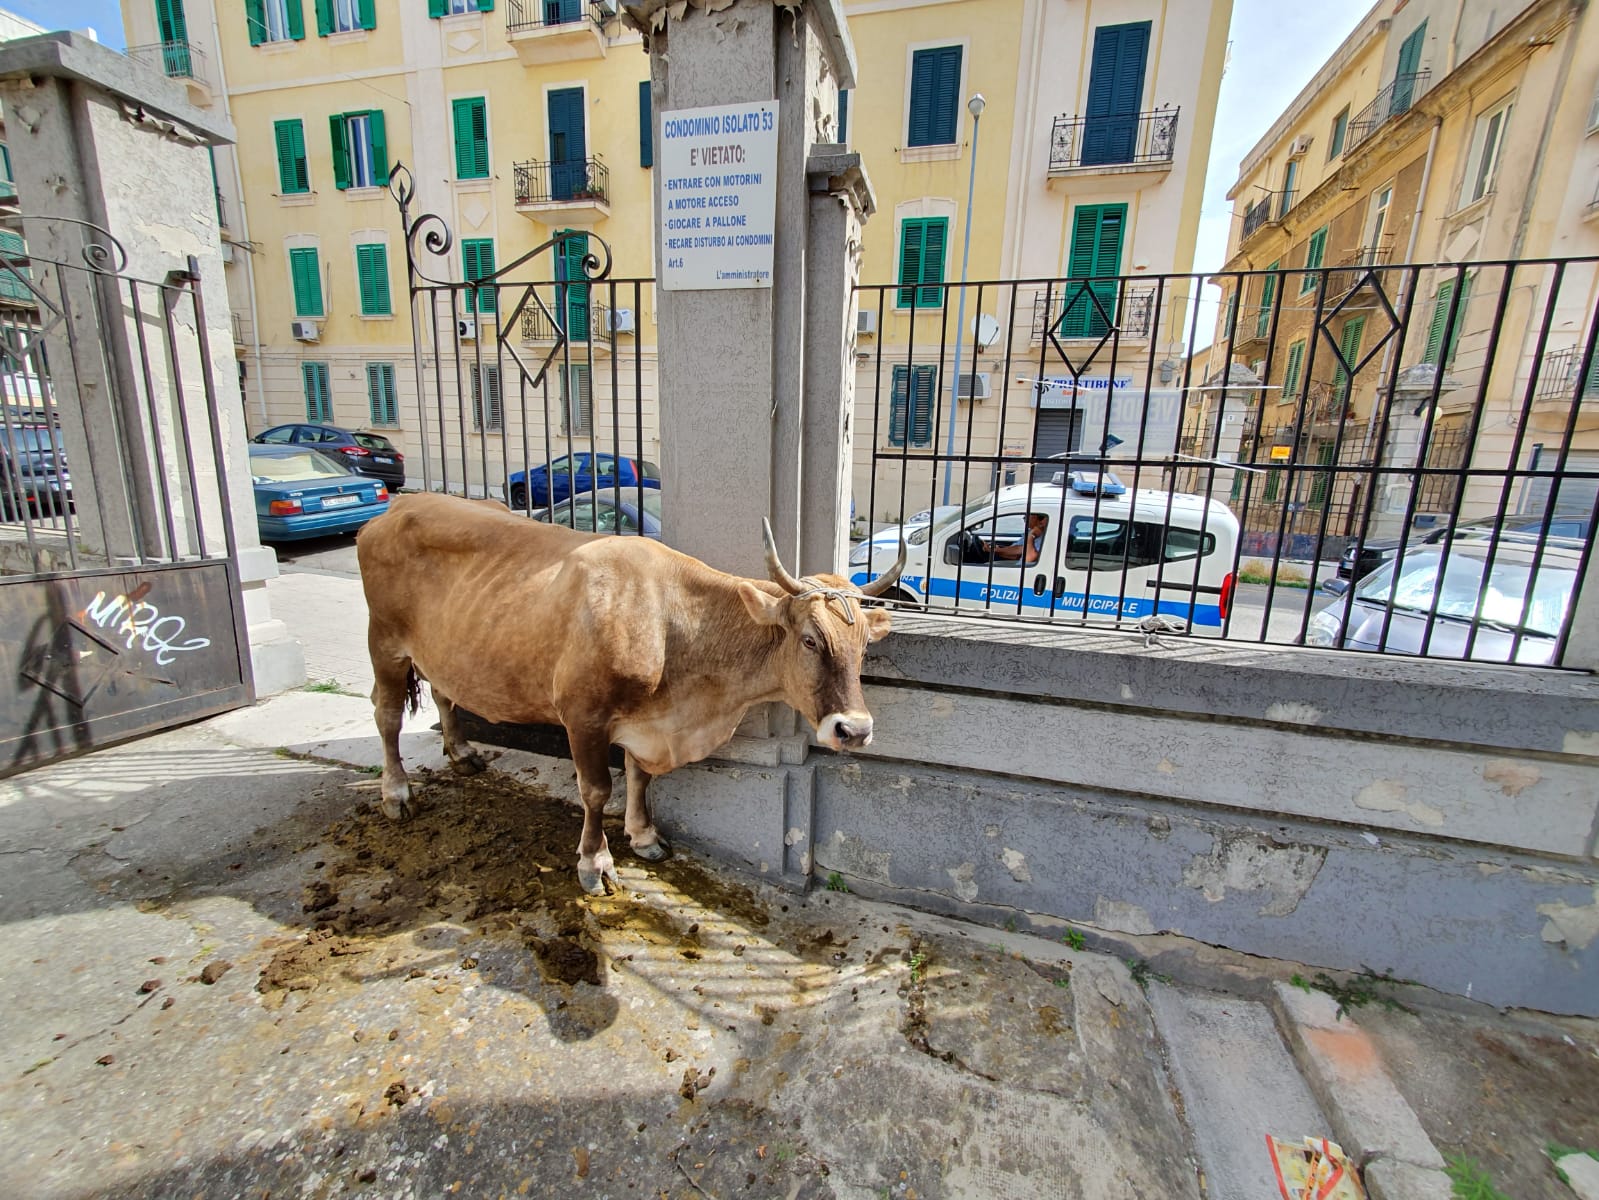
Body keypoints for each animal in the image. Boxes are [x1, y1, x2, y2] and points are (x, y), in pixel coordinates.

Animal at [356, 493, 905, 894]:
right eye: (810, 639)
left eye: (864, 646)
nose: (855, 730)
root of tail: (398, 506)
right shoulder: (583, 715)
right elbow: (598, 790)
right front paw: (595, 862)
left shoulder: (647, 721)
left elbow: (640, 777)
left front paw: (643, 837)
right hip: (384, 642)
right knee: (387, 715)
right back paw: (396, 793)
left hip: (442, 648)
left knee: (444, 693)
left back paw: (462, 752)